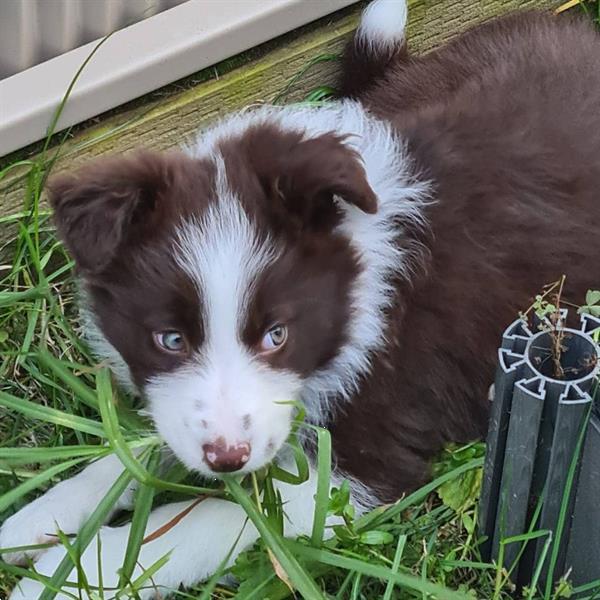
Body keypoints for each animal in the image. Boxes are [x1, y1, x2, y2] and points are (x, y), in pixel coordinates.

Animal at [1, 0, 600, 596]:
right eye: (169, 340)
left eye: (277, 335)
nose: (227, 459)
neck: (359, 282)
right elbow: (140, 449)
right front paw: (40, 521)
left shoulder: (355, 474)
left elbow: (195, 523)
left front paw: (72, 575)